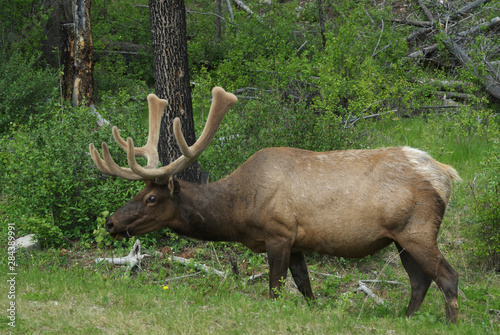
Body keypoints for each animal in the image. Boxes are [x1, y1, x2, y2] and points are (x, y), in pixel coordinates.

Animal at [89, 88, 460, 324]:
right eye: (138, 193)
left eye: (151, 198)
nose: (111, 222)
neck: (239, 211)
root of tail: (446, 174)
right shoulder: (297, 241)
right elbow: (305, 287)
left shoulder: (278, 233)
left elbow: (276, 290)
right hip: (400, 238)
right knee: (420, 281)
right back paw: (406, 319)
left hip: (417, 229)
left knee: (447, 275)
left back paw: (450, 322)